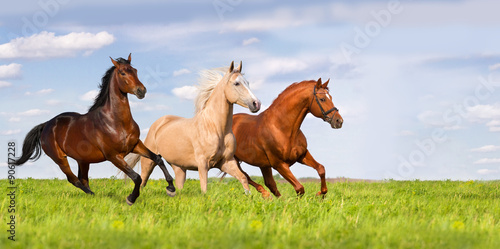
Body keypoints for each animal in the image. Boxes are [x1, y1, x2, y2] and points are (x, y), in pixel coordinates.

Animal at [13, 55, 176, 206]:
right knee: (74, 180)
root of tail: (47, 124)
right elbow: (136, 177)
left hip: (83, 160)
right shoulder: (113, 156)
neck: (115, 122)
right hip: (60, 159)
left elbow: (158, 159)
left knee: (83, 179)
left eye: (135, 70)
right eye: (123, 72)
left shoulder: (136, 145)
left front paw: (171, 189)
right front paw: (131, 198)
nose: (141, 91)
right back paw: (94, 195)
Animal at [127, 61, 262, 194]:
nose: (256, 104)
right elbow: (204, 188)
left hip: (179, 167)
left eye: (247, 82)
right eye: (236, 83)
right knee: (143, 181)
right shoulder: (203, 164)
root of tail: (158, 123)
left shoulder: (227, 162)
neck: (216, 128)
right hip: (148, 161)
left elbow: (243, 178)